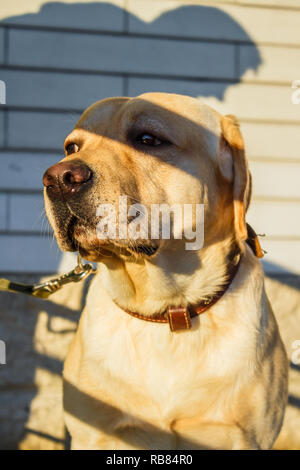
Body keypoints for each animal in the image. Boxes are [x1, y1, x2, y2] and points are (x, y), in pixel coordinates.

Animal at [42, 92, 288, 448]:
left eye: (148, 140)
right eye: (71, 147)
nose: (58, 179)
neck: (168, 308)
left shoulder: (245, 437)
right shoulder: (90, 432)